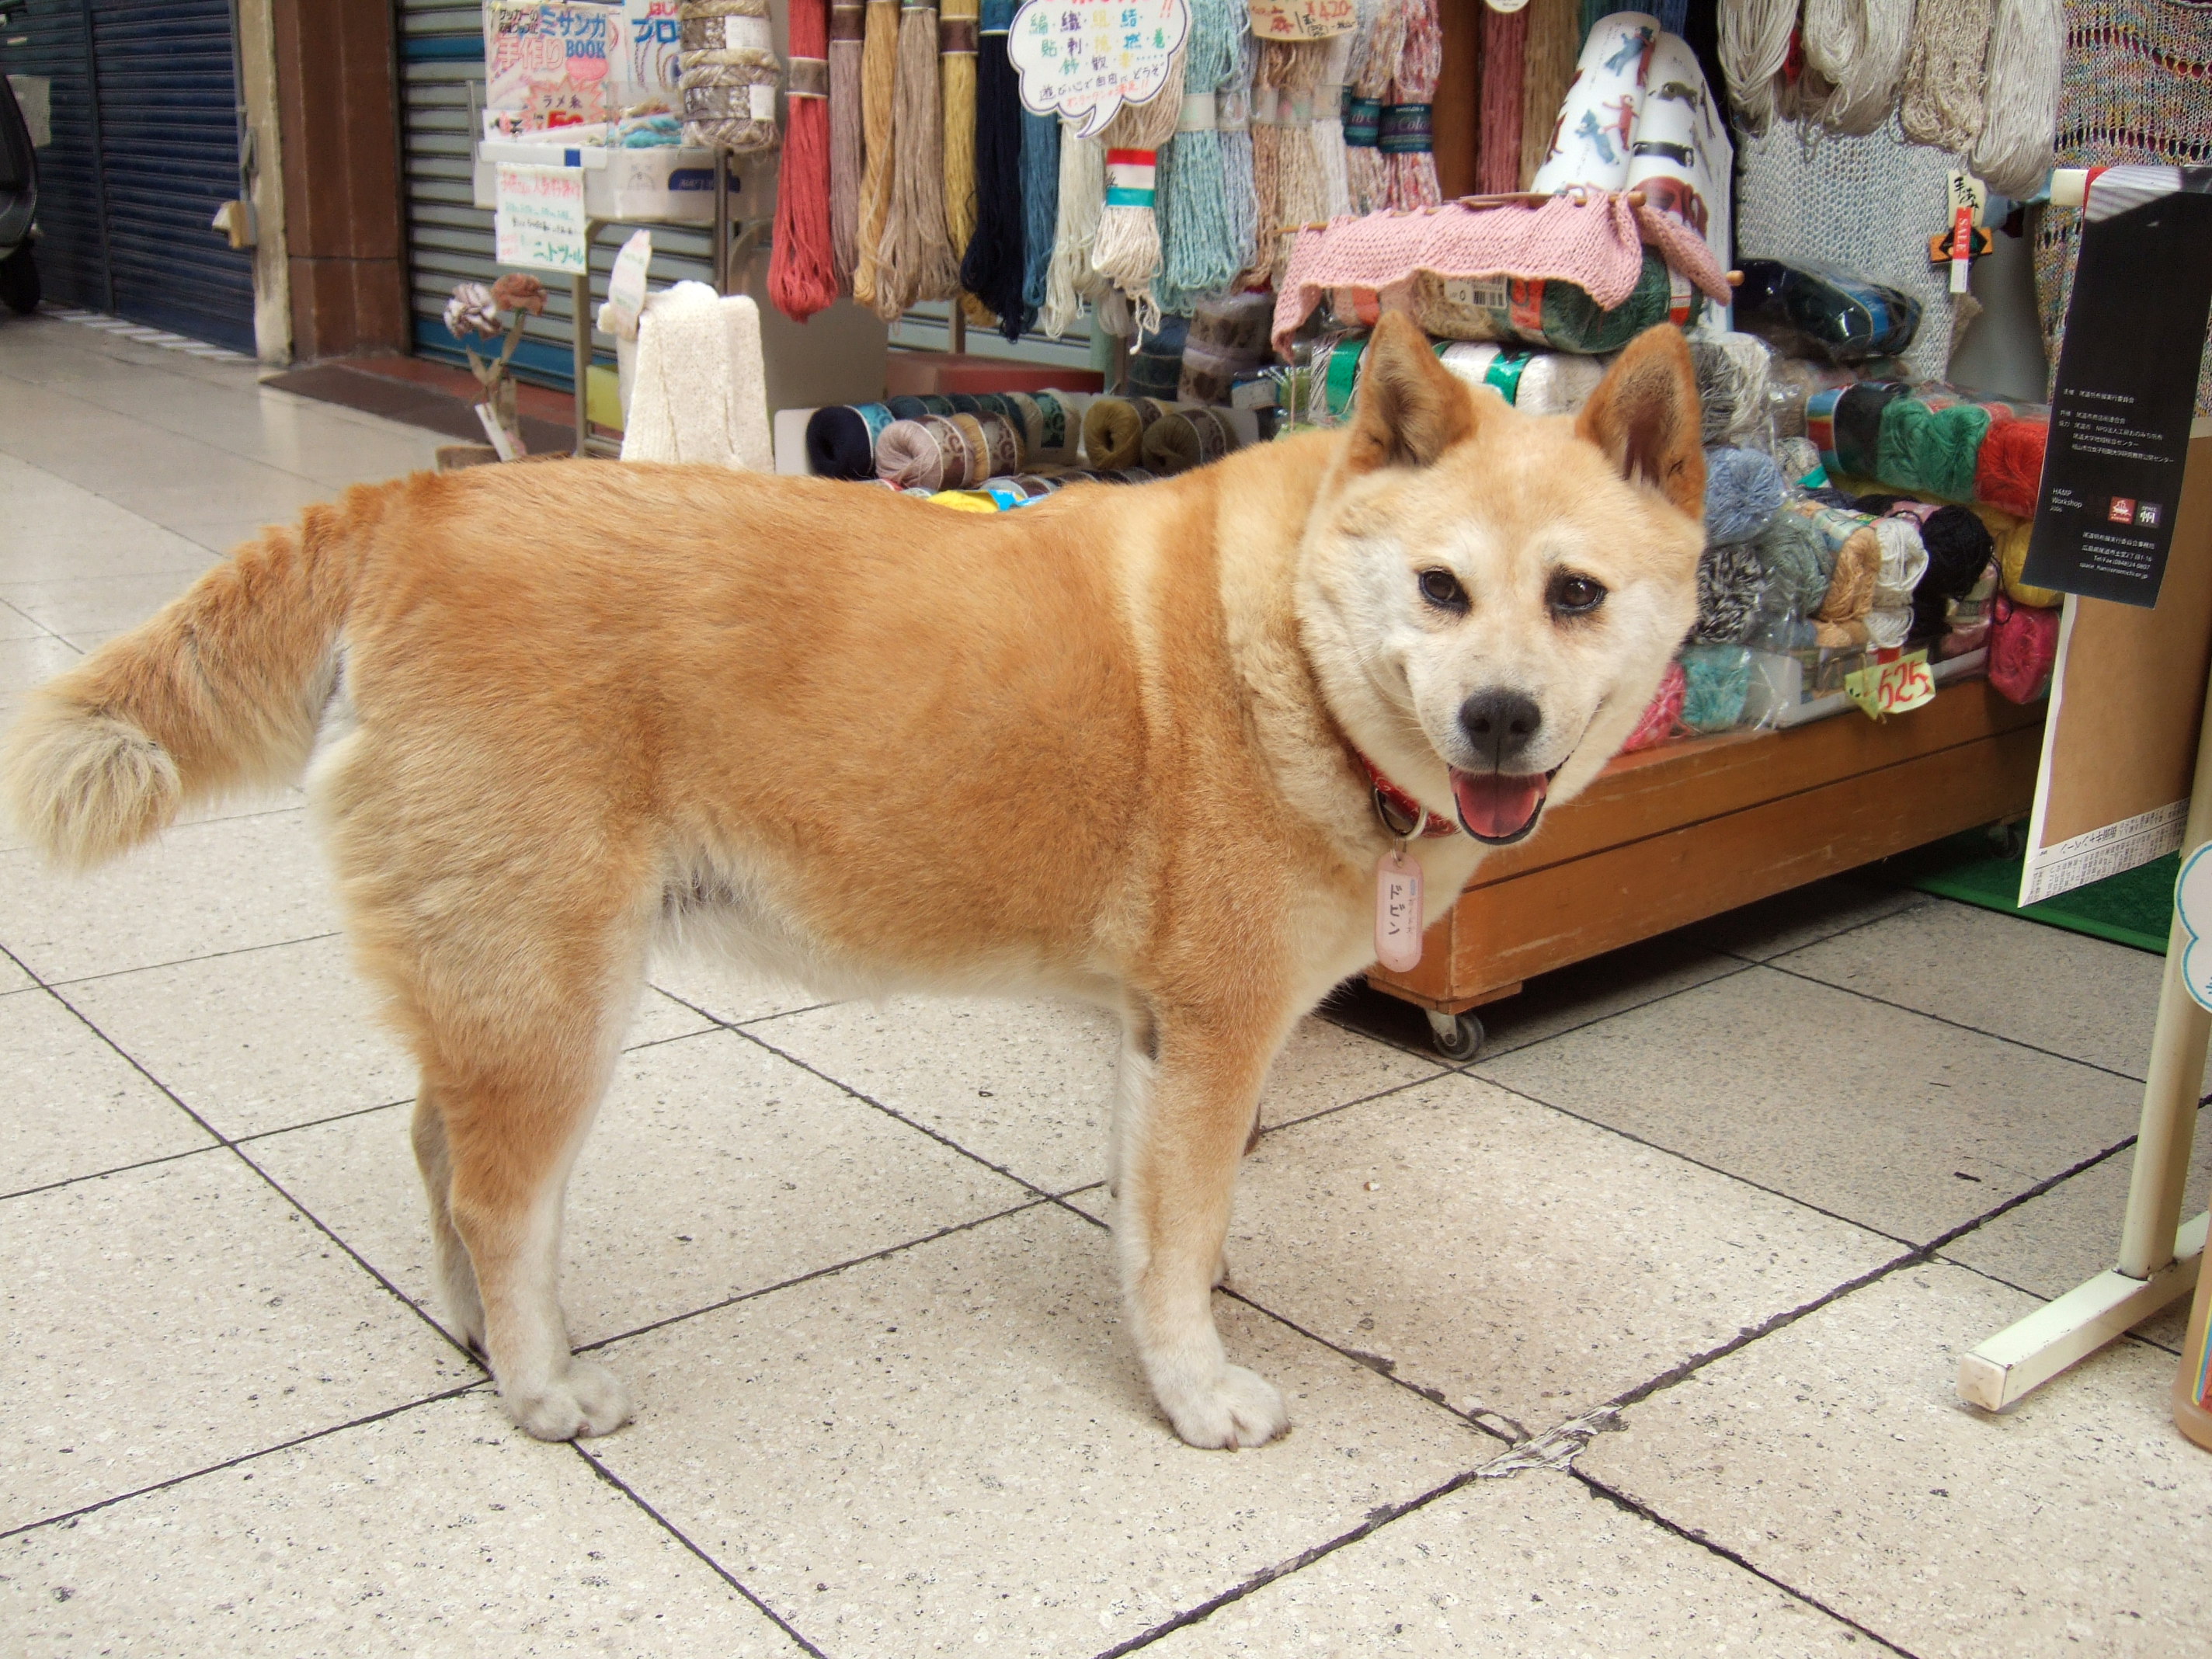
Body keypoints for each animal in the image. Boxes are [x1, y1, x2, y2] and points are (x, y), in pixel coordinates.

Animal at [4, 318, 1689, 1451]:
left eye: (1573, 594)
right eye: (1440, 589)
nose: (1498, 720)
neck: (1276, 631)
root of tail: (419, 506)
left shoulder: (1152, 1047)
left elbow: (1147, 1234)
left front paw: (1165, 1349)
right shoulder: (1213, 1043)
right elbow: (1182, 1247)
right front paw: (1195, 1391)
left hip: (497, 985)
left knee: (437, 1154)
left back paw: (482, 1331)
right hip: (560, 999)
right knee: (493, 1194)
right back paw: (540, 1386)